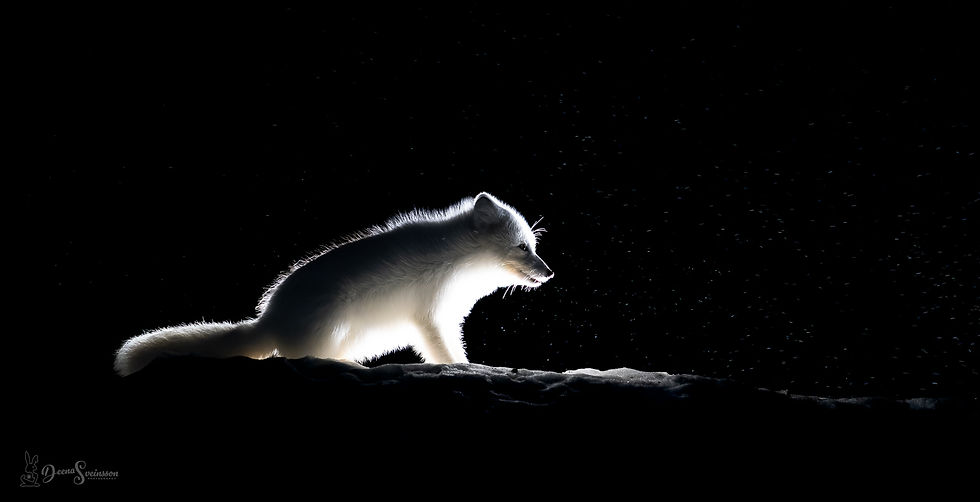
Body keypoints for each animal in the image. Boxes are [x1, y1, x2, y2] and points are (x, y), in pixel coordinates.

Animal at [114, 192, 553, 376]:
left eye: (534, 246)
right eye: (521, 246)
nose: (549, 272)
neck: (458, 262)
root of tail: (269, 321)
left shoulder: (444, 315)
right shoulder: (430, 315)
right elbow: (443, 351)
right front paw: (467, 367)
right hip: (333, 322)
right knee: (306, 356)